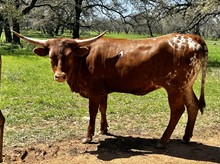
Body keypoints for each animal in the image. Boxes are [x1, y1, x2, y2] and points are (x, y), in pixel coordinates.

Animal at [12, 30, 207, 148]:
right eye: (51, 56)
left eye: (69, 55)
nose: (60, 76)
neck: (84, 59)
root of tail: (193, 38)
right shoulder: (102, 90)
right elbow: (103, 107)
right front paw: (104, 129)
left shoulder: (93, 91)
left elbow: (92, 111)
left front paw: (88, 136)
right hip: (186, 86)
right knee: (193, 106)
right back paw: (186, 137)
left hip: (174, 87)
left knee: (178, 110)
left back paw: (163, 140)